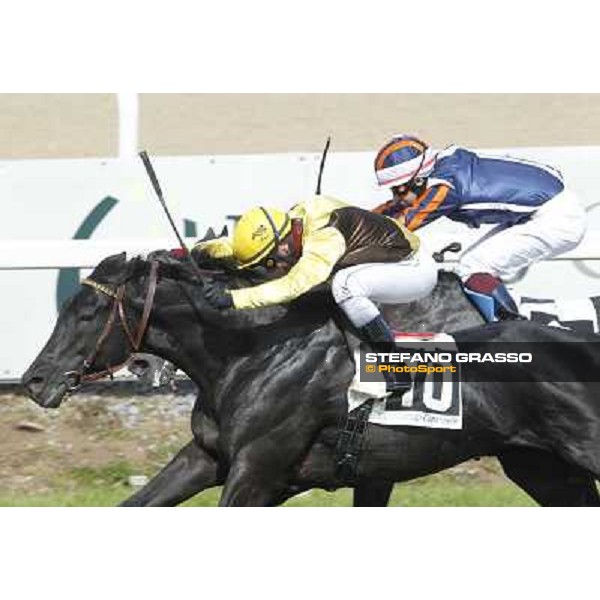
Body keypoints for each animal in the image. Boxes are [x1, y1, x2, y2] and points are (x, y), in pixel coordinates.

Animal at [21, 253, 600, 506]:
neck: (251, 353)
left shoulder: (259, 470)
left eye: (87, 312)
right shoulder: (209, 457)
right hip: (541, 466)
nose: (33, 379)